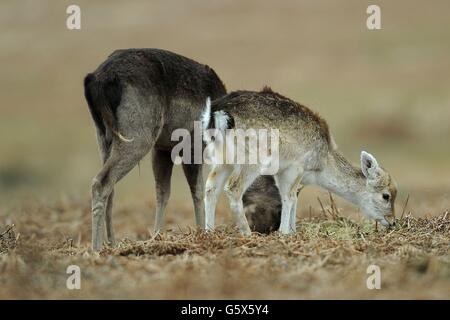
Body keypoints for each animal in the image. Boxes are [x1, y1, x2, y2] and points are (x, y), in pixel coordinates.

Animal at [202, 87, 396, 235]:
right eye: (386, 195)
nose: (393, 222)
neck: (323, 164)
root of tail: (218, 111)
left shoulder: (284, 173)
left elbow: (292, 198)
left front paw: (292, 230)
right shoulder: (295, 168)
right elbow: (288, 197)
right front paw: (284, 232)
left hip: (222, 159)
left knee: (211, 187)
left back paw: (208, 231)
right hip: (252, 160)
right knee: (233, 188)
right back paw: (247, 233)